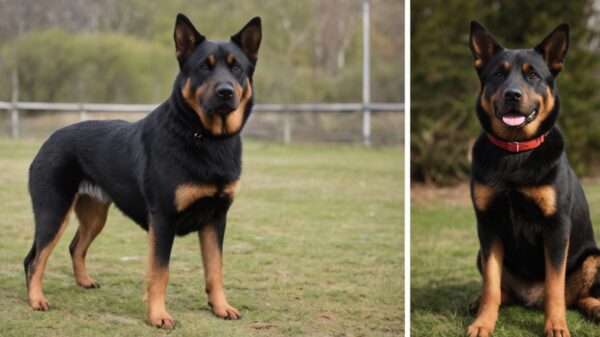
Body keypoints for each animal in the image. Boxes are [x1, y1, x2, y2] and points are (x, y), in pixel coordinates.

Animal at [468, 21, 600, 336]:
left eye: (533, 75)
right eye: (498, 74)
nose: (512, 95)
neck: (516, 152)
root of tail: (531, 299)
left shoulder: (556, 228)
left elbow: (554, 286)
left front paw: (556, 326)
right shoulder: (487, 227)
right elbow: (491, 285)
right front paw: (483, 323)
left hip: (595, 257)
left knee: (577, 296)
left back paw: (595, 308)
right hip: (480, 253)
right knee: (504, 292)